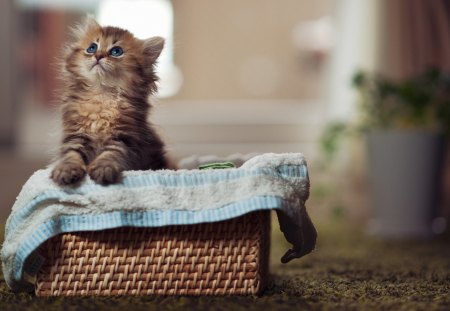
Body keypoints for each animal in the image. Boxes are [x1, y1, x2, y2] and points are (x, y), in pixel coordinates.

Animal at [51, 18, 170, 186]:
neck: (102, 95)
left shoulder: (123, 137)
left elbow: (111, 154)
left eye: (116, 51)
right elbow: (71, 154)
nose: (98, 56)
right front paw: (66, 170)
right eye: (92, 48)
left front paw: (103, 169)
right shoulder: (75, 134)